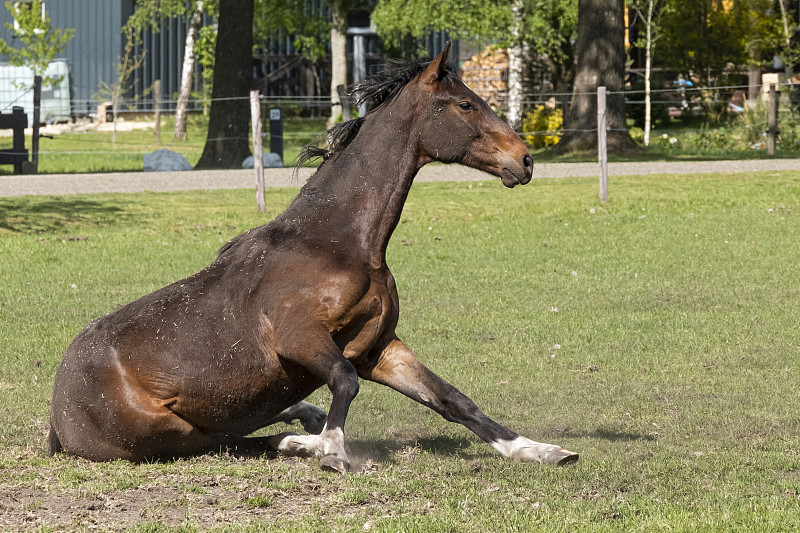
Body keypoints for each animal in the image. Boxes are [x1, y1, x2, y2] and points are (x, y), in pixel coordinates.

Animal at [48, 44, 576, 470]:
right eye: (466, 104)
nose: (525, 160)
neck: (338, 243)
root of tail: (58, 415)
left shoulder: (380, 347)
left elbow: (453, 399)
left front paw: (538, 450)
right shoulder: (299, 338)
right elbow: (345, 380)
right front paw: (333, 452)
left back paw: (305, 423)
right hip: (164, 429)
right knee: (224, 439)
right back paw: (300, 442)